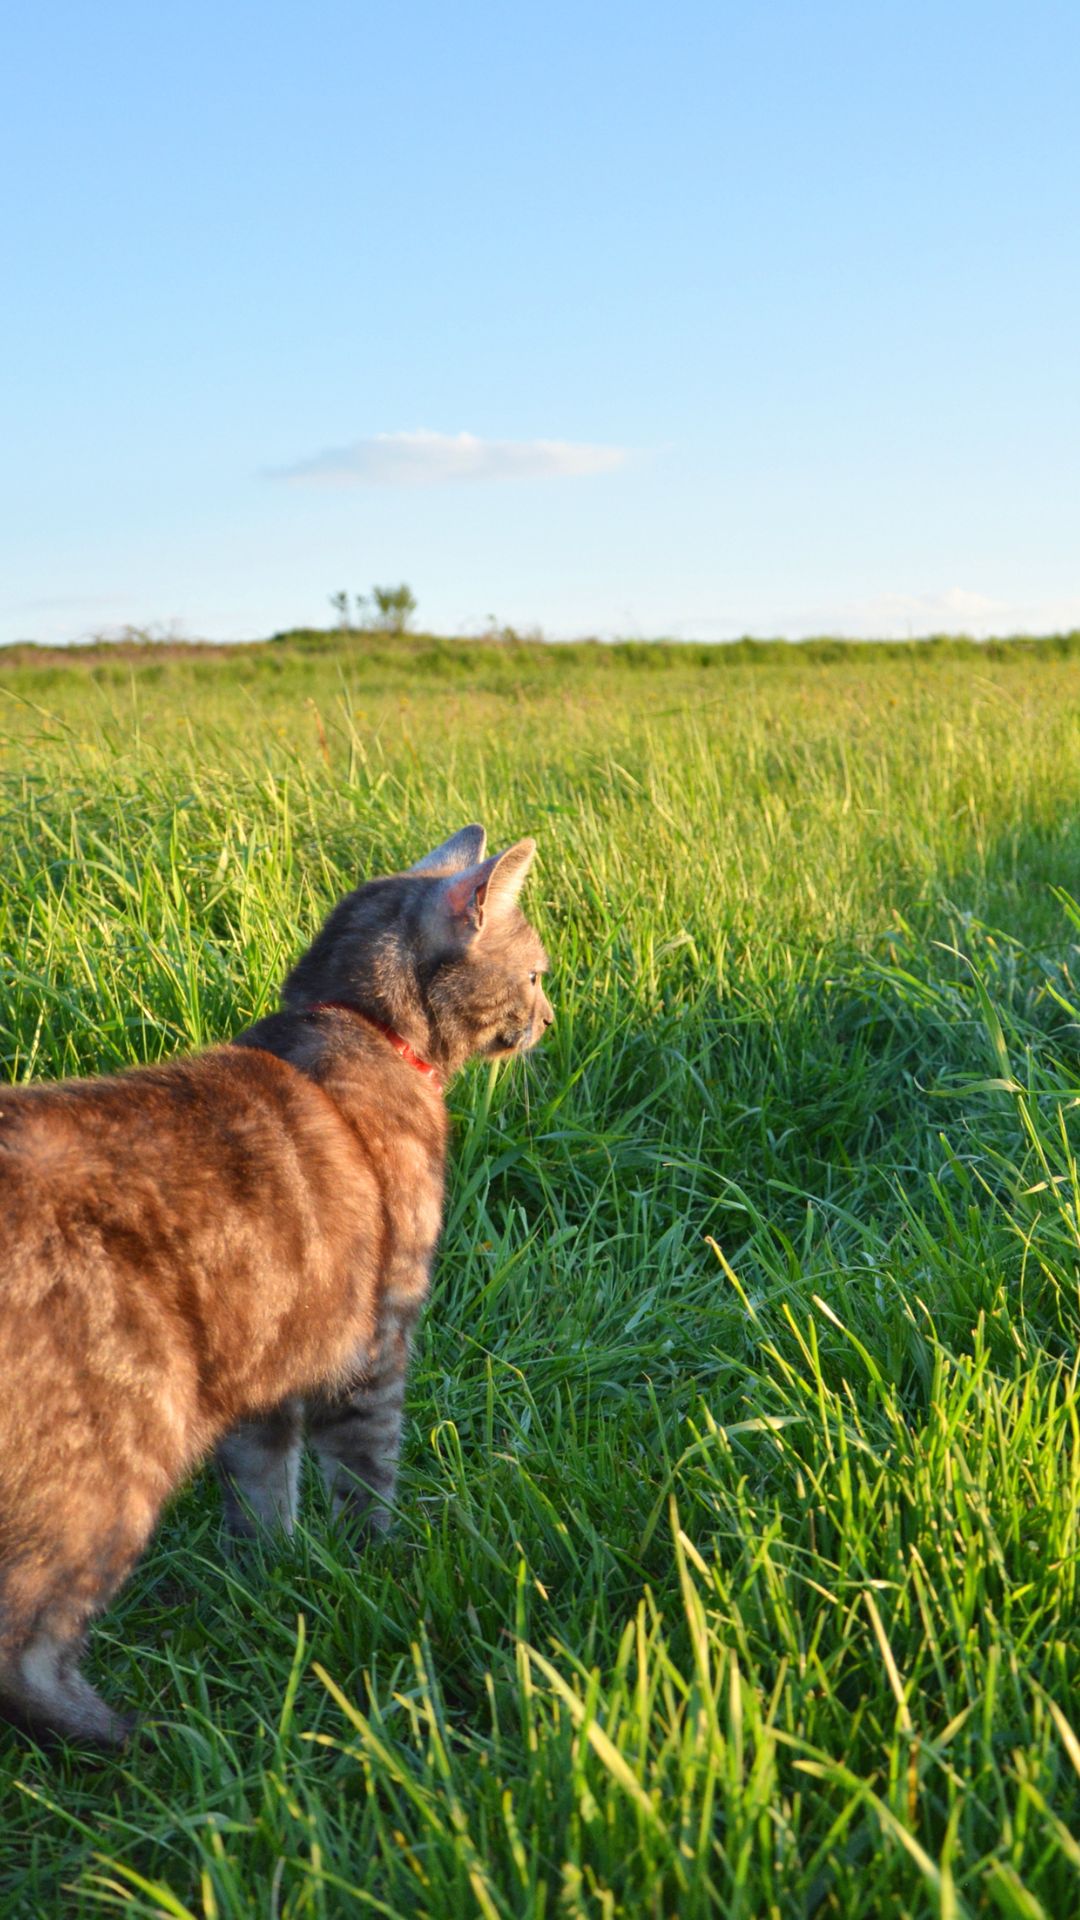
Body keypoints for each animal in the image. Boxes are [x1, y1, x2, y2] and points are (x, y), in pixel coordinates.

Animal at [0, 817, 549, 1751]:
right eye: (538, 973)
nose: (549, 1015)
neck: (360, 1023)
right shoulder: (376, 1346)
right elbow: (366, 1475)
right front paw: (376, 1565)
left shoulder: (266, 1356)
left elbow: (262, 1492)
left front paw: (273, 1579)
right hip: (114, 1457)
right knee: (27, 1640)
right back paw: (125, 1734)